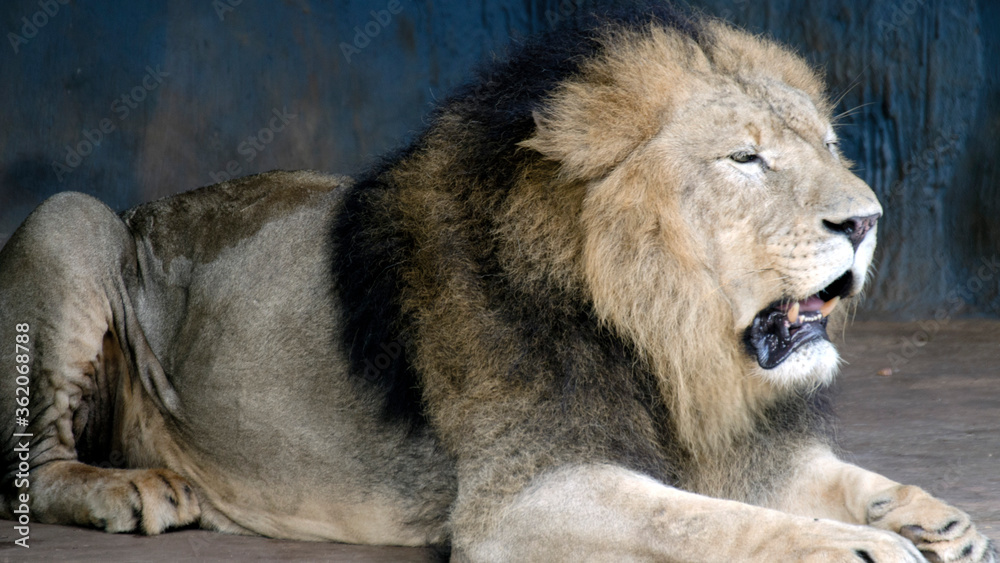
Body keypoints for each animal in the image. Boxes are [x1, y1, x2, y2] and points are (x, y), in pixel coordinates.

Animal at [1, 4, 995, 561]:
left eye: (827, 146)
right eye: (745, 159)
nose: (866, 219)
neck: (668, 343)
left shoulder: (739, 441)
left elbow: (838, 477)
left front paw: (934, 518)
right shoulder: (518, 500)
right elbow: (701, 523)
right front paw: (859, 547)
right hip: (71, 219)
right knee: (35, 461)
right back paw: (132, 490)